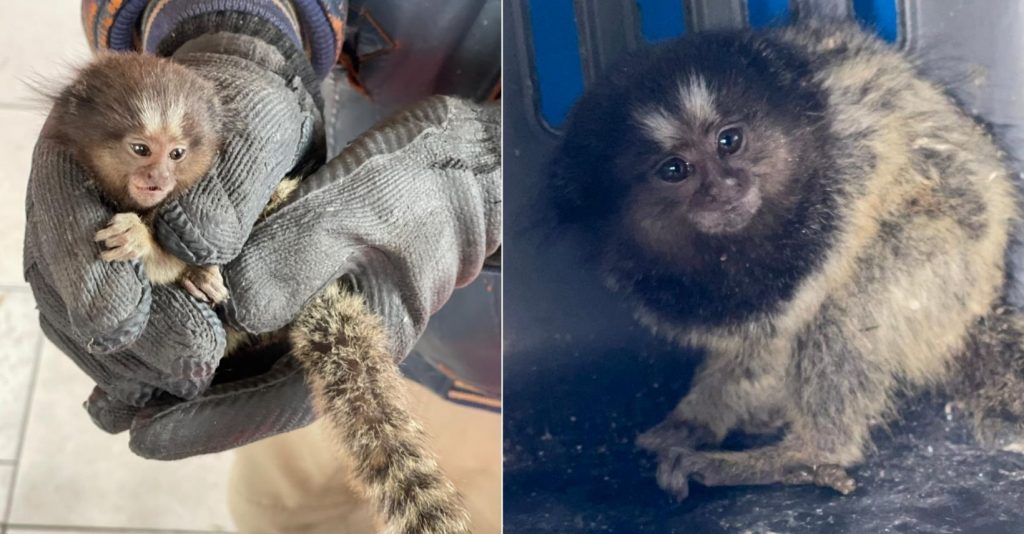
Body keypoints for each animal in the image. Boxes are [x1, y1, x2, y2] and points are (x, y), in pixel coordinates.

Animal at [548, 18, 1024, 498]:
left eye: (729, 141)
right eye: (674, 169)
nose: (723, 187)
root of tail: (983, 302)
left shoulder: (845, 181)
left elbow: (804, 311)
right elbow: (761, 344)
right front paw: (696, 417)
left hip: (951, 269)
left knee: (852, 304)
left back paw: (802, 455)